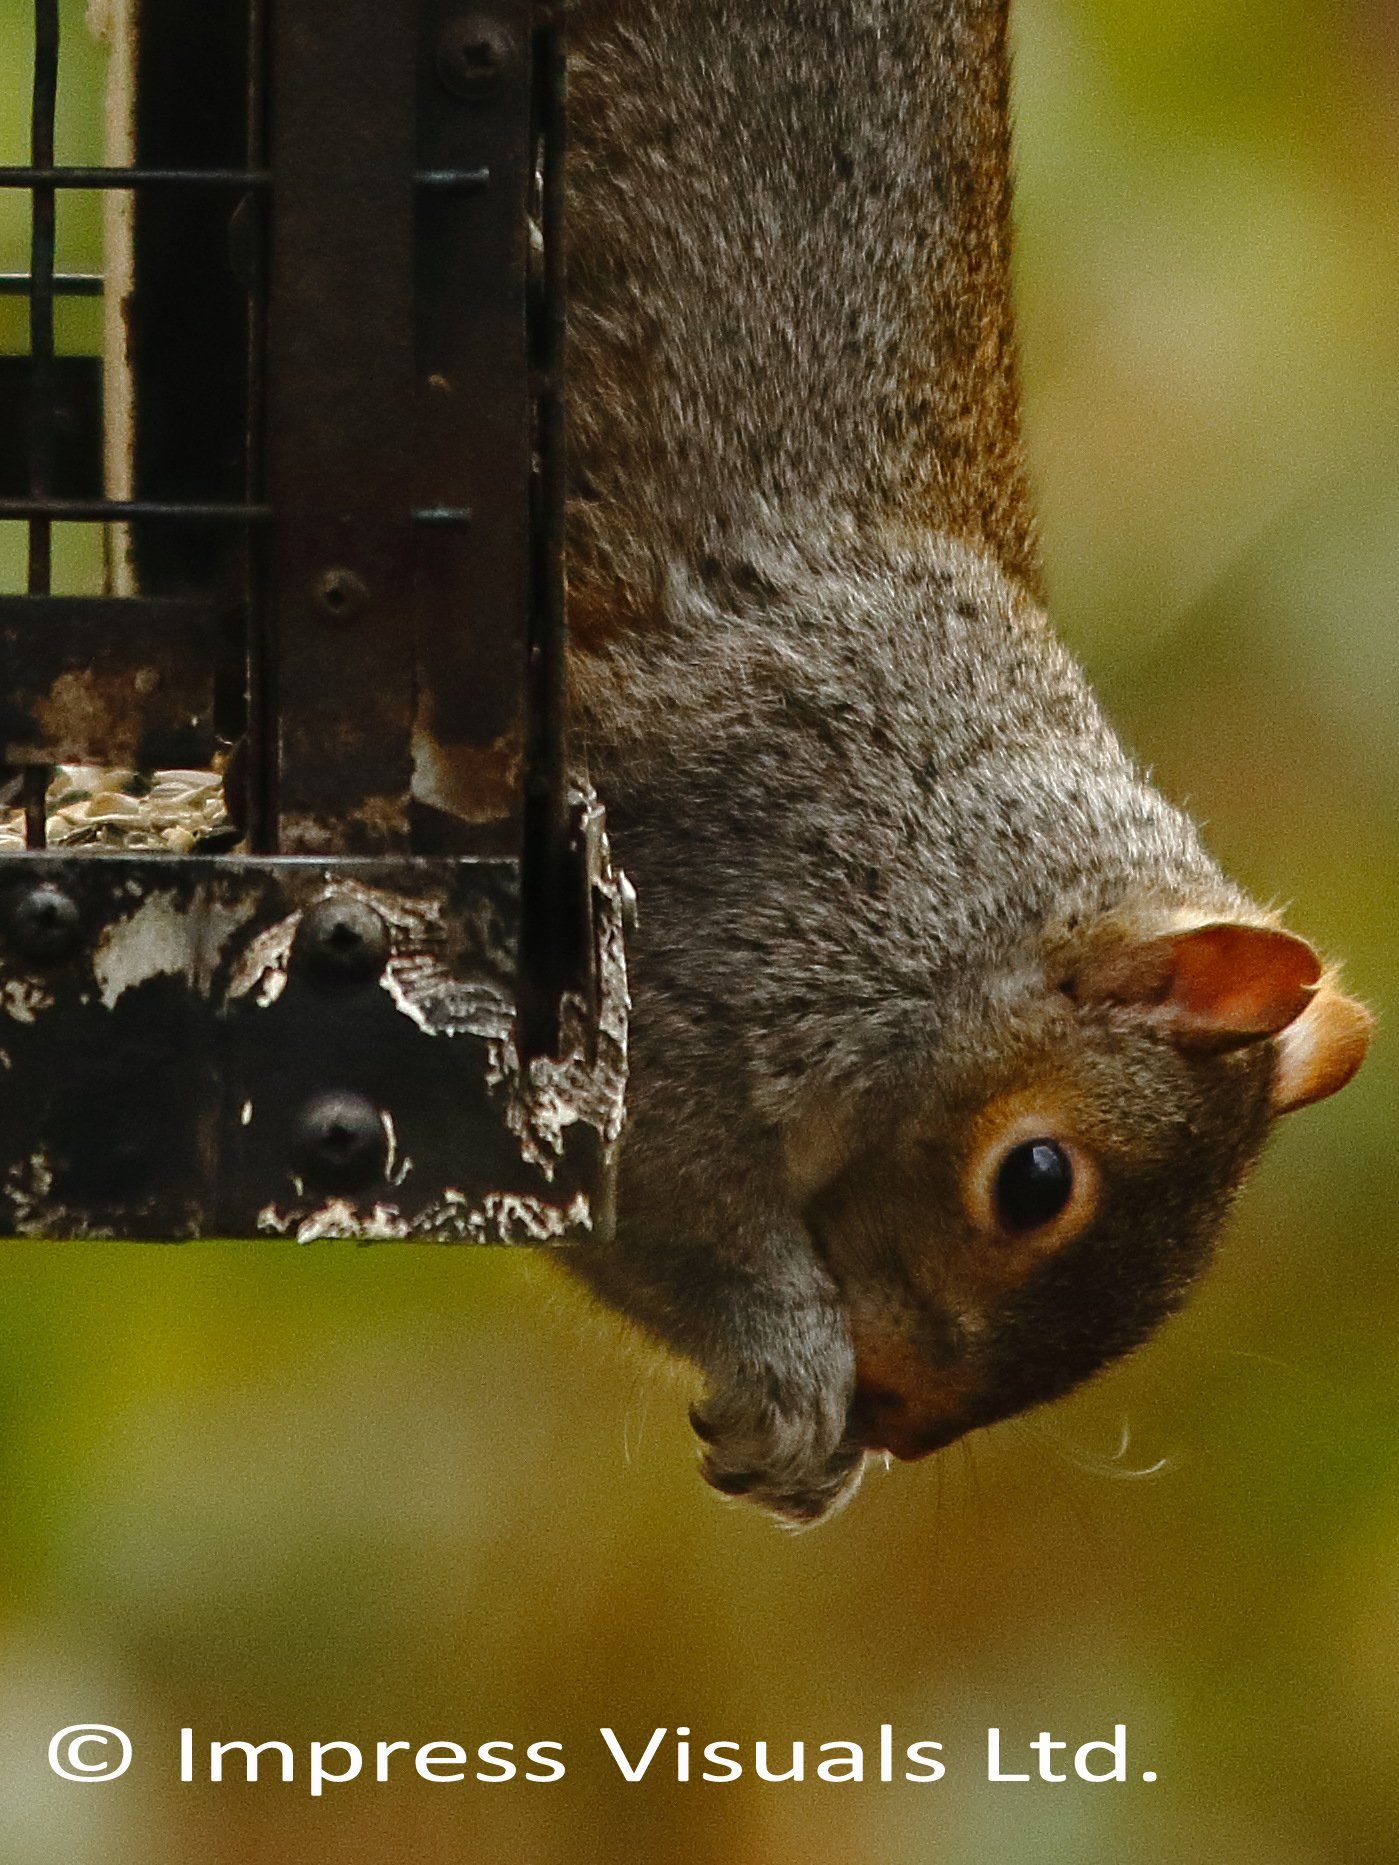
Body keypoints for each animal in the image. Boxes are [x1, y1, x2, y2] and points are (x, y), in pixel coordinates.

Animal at [558, 0, 1372, 1524]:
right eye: (1033, 1181)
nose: (897, 1414)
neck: (961, 867)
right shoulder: (726, 909)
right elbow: (660, 1176)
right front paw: (784, 1365)